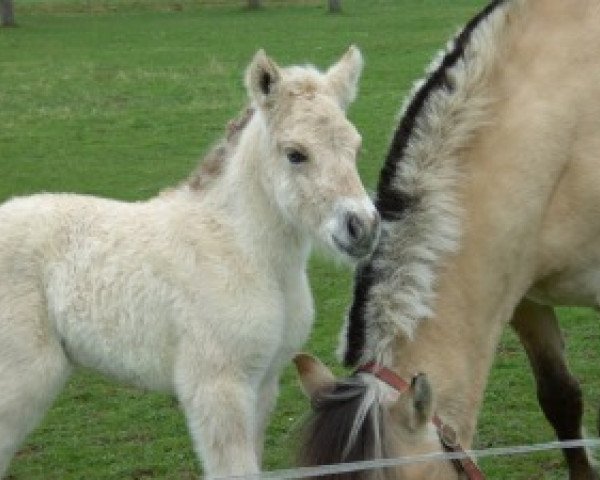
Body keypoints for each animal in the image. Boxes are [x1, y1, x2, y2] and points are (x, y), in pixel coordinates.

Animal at [0, 47, 380, 476]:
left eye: (355, 148)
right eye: (295, 154)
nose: (362, 227)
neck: (241, 250)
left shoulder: (263, 384)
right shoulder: (217, 387)